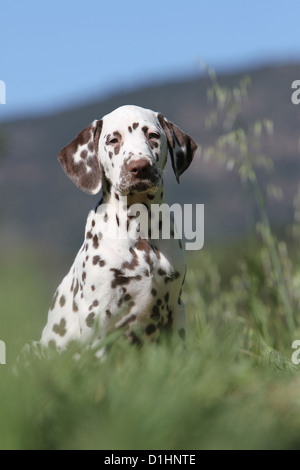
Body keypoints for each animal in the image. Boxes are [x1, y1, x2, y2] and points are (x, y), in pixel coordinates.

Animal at [39, 103, 197, 352]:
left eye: (153, 136)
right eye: (113, 139)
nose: (139, 167)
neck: (140, 229)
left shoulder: (176, 308)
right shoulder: (97, 318)